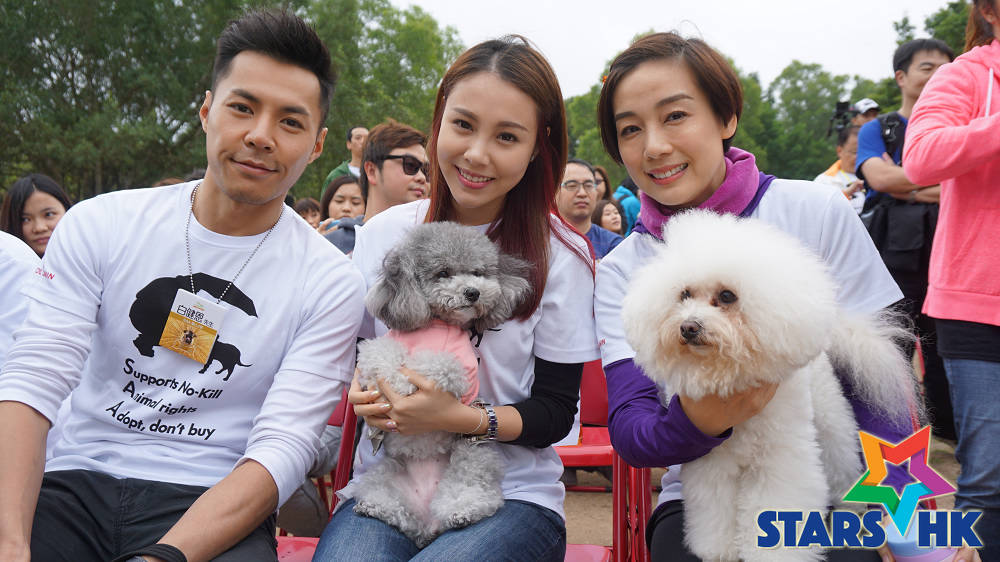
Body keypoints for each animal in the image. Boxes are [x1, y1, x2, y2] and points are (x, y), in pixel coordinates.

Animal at [352, 221, 532, 547]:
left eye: (478, 272)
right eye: (443, 272)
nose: (472, 292)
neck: (436, 324)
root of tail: (428, 524)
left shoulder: (458, 371)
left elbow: (435, 363)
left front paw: (406, 383)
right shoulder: (378, 347)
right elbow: (382, 355)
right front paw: (395, 379)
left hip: (471, 453)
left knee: (477, 492)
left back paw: (463, 511)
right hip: (386, 472)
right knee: (392, 505)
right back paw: (373, 506)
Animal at [622, 210, 921, 562]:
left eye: (727, 296)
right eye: (684, 294)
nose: (688, 327)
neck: (729, 373)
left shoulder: (778, 460)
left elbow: (775, 506)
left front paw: (776, 552)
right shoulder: (713, 463)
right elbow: (715, 510)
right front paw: (719, 548)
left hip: (830, 426)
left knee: (843, 469)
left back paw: (851, 511)